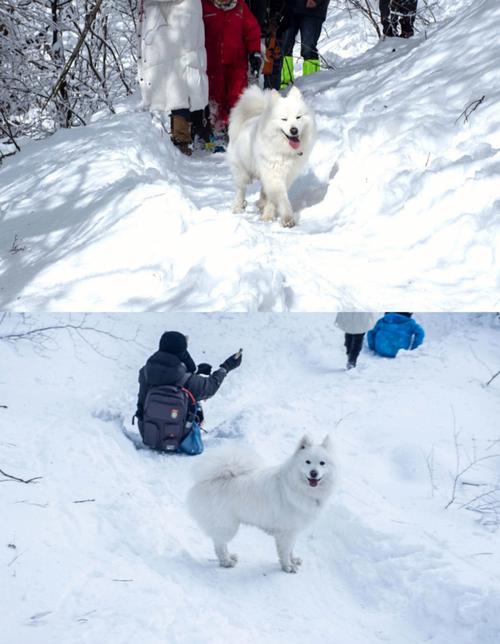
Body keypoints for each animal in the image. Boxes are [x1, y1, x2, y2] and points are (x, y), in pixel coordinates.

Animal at [186, 436, 334, 572]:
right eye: (307, 462)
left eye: (322, 463)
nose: (313, 473)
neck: (298, 487)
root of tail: (208, 480)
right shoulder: (286, 531)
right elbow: (285, 552)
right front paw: (288, 567)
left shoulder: (293, 530)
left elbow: (291, 549)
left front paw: (293, 560)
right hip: (227, 526)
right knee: (219, 545)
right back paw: (227, 562)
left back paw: (230, 557)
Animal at [228, 84, 316, 228]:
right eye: (284, 119)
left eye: (298, 117)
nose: (294, 130)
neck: (284, 151)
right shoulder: (274, 176)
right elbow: (282, 198)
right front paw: (287, 219)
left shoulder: (286, 175)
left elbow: (271, 199)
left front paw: (267, 216)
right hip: (242, 172)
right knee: (240, 189)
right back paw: (238, 207)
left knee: (262, 191)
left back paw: (260, 203)